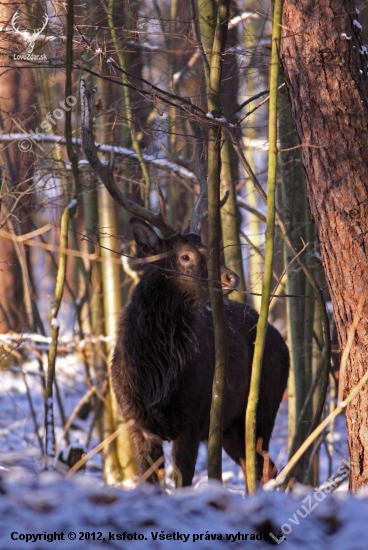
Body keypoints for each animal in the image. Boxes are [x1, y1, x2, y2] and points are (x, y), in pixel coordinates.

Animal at [81, 81, 290, 488]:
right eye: (186, 256)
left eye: (208, 246)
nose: (230, 277)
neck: (154, 377)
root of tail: (281, 338)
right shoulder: (136, 423)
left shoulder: (192, 420)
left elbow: (182, 482)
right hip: (232, 427)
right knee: (262, 466)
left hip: (261, 408)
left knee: (266, 466)